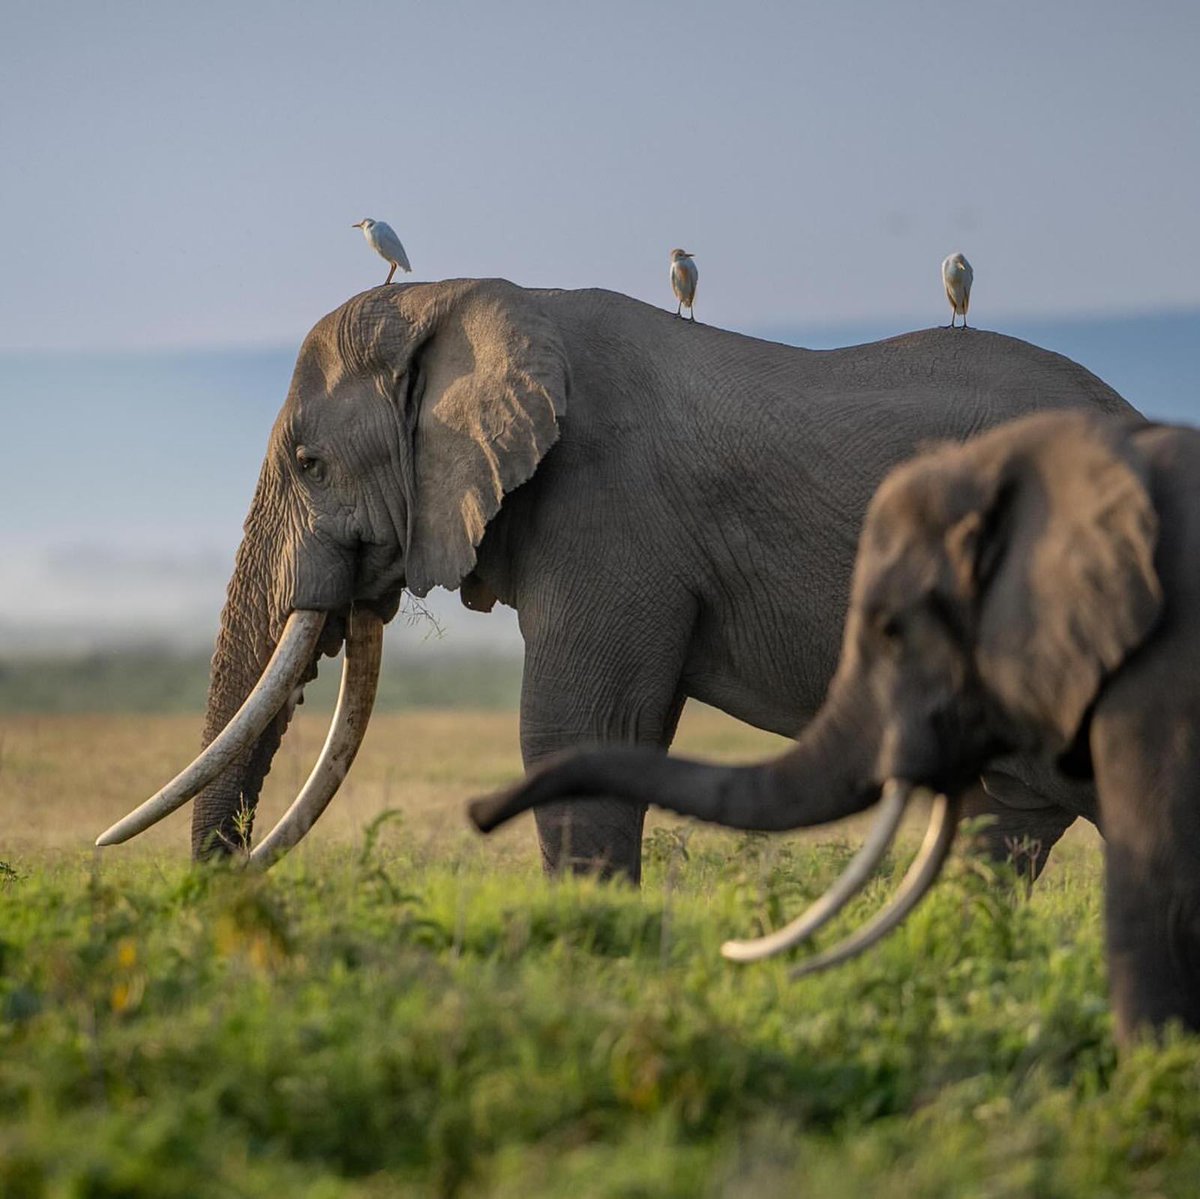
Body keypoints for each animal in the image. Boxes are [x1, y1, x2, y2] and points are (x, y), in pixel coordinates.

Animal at [96, 278, 1132, 883]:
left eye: (310, 464)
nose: (218, 889)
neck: (469, 300)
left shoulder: (608, 507)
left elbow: (577, 732)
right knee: (1009, 819)